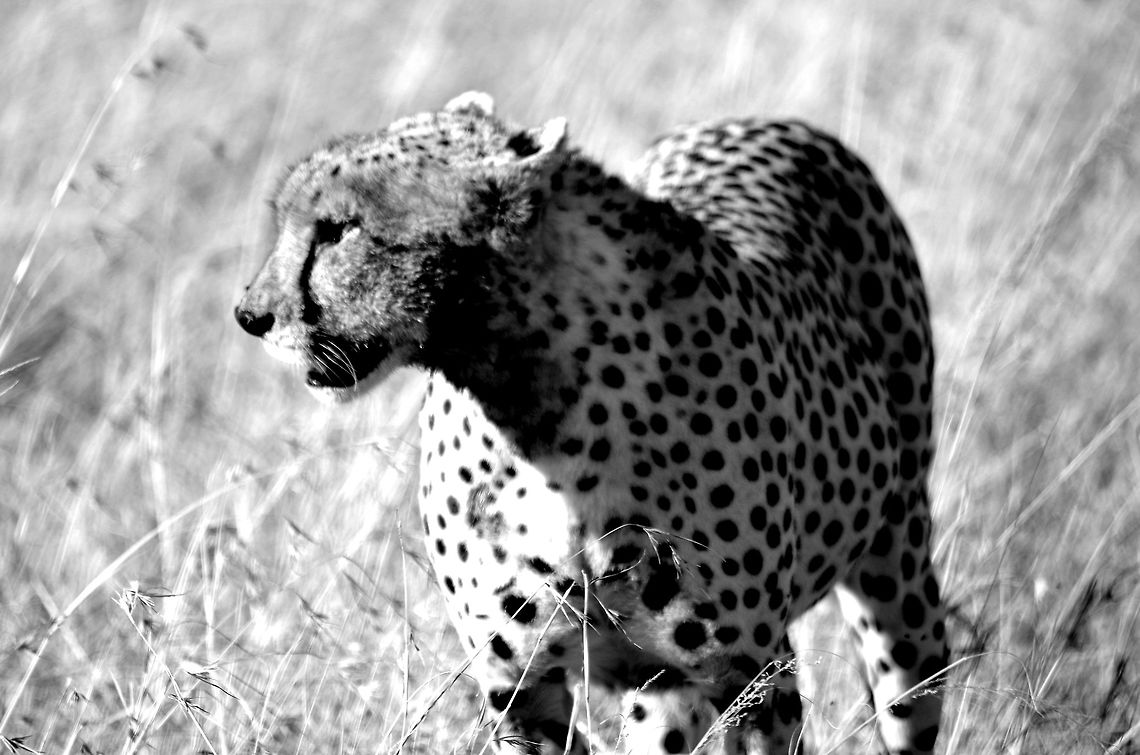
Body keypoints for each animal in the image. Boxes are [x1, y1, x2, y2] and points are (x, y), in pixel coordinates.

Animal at [235, 91, 949, 754]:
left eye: (339, 229)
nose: (250, 316)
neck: (530, 403)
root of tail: (760, 121)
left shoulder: (736, 675)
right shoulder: (519, 691)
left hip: (899, 580)